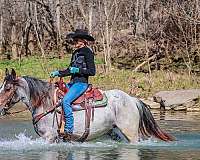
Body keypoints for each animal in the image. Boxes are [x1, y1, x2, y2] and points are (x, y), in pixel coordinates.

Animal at [0, 68, 173, 142]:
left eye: (7, 88)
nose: (0, 107)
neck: (45, 103)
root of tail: (132, 99)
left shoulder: (49, 137)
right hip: (113, 131)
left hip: (130, 133)